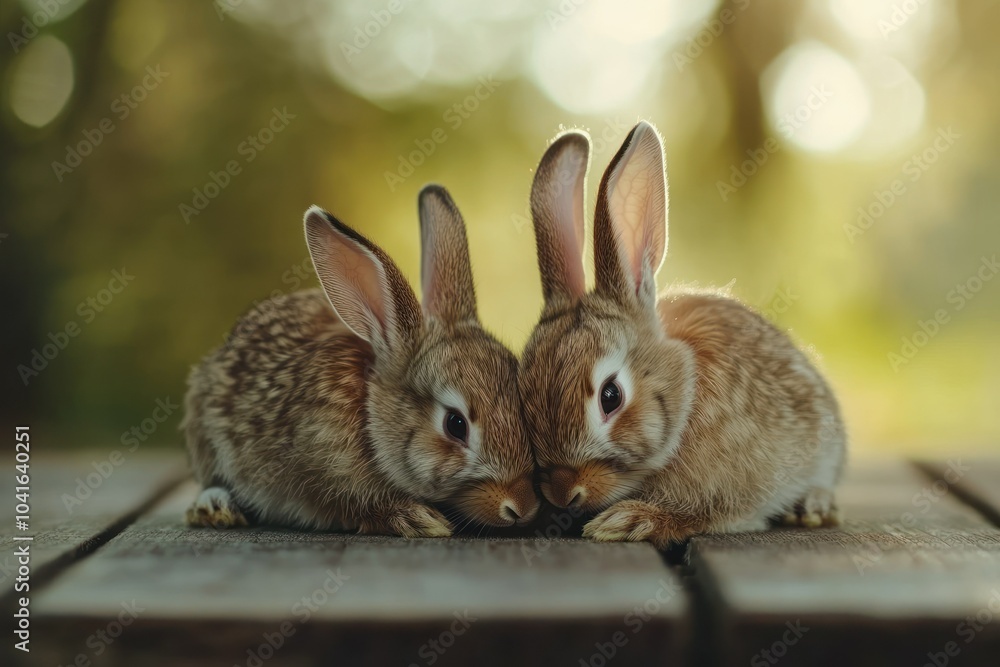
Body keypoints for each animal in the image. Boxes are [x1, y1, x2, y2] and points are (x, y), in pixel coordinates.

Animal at [517, 121, 847, 548]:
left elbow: (708, 512)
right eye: (522, 394)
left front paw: (629, 520)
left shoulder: (733, 488)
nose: (563, 493)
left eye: (611, 396)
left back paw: (813, 506)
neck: (685, 393)